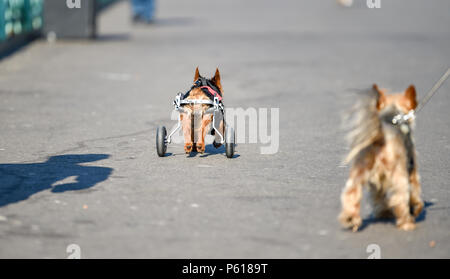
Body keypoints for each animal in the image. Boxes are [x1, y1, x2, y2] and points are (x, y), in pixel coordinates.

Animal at [340, 85, 424, 232]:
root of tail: (379, 138)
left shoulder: (377, 182)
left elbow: (378, 196)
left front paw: (383, 213)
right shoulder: (411, 168)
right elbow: (415, 191)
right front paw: (417, 208)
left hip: (359, 170)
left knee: (351, 193)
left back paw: (350, 219)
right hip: (399, 173)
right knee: (400, 197)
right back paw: (407, 223)